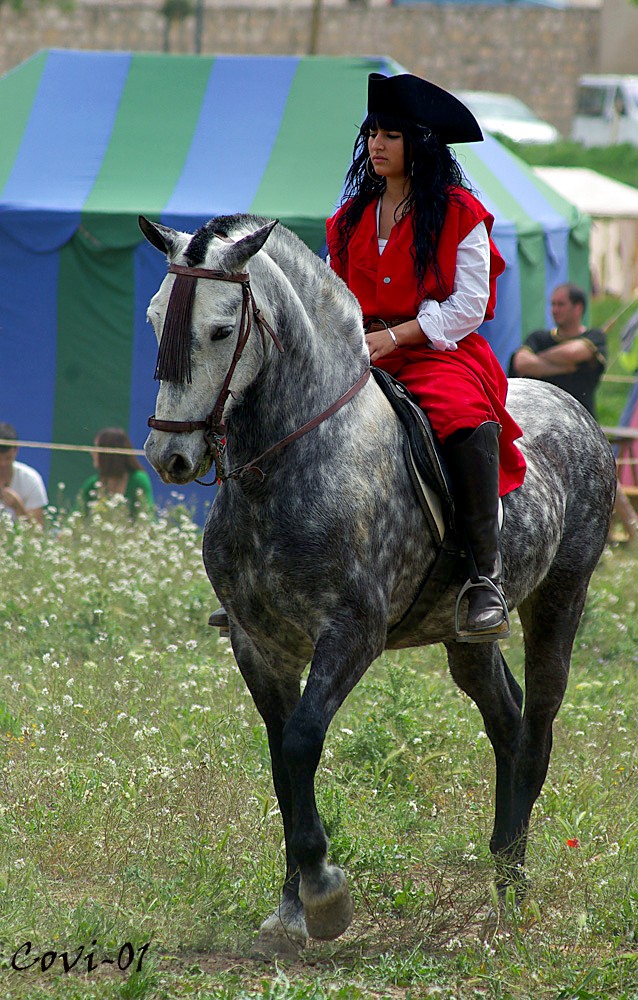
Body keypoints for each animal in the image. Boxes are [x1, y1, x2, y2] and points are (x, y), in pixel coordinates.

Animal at [140, 213, 620, 960]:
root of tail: (573, 407)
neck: (294, 458)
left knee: (537, 725)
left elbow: (302, 743)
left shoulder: (351, 634)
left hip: (562, 597)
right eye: (157, 317)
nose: (172, 456)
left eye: (221, 330)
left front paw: (323, 895)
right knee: (506, 719)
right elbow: (282, 764)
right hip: (465, 634)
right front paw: (289, 908)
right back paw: (501, 864)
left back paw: (516, 886)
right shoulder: (257, 643)